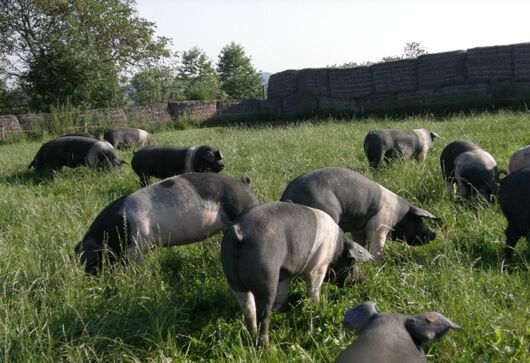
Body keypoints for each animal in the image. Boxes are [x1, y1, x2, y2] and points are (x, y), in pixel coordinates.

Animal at [219, 200, 372, 348]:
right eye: (352, 262)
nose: (363, 279)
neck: (336, 250)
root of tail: (239, 232)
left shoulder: (285, 273)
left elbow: (282, 293)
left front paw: (278, 309)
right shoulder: (317, 267)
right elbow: (314, 288)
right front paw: (317, 306)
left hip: (233, 278)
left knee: (248, 308)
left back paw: (252, 334)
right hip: (265, 274)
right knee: (262, 313)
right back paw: (266, 346)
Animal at [278, 166, 436, 264]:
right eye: (419, 220)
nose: (434, 234)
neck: (398, 214)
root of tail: (289, 196)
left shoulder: (359, 229)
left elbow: (361, 242)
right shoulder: (379, 224)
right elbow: (377, 244)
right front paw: (377, 264)